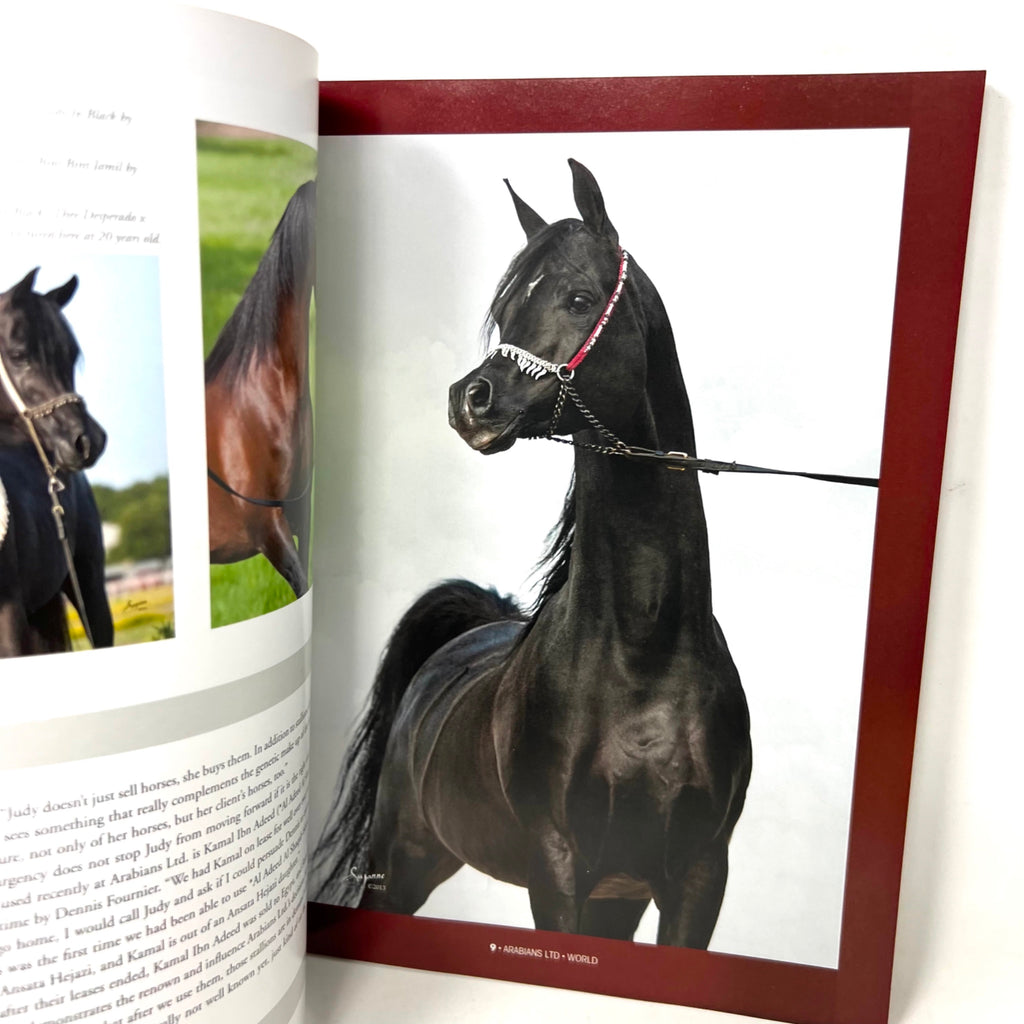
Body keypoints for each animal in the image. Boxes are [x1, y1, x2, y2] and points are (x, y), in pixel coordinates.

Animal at [313, 160, 751, 948]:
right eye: (507, 310)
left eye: (578, 299)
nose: (471, 400)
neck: (645, 656)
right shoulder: (558, 869)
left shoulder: (697, 876)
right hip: (403, 864)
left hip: (616, 899)